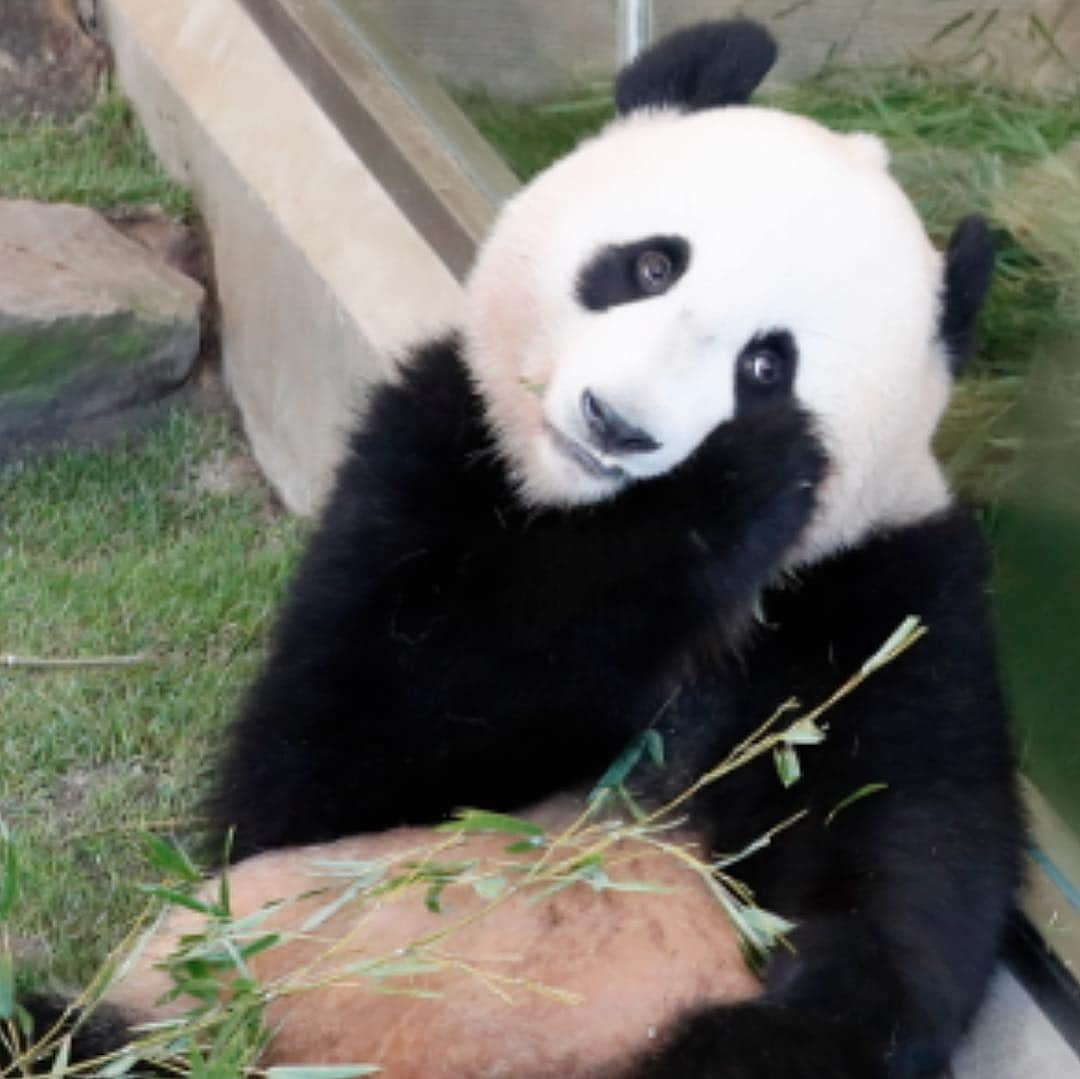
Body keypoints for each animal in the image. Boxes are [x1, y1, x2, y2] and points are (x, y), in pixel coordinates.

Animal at [8, 16, 1019, 1079]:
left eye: (765, 363)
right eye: (651, 266)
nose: (616, 424)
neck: (580, 515)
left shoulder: (885, 595)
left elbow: (904, 869)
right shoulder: (426, 458)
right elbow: (328, 759)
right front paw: (734, 485)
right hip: (183, 1013)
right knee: (68, 1038)